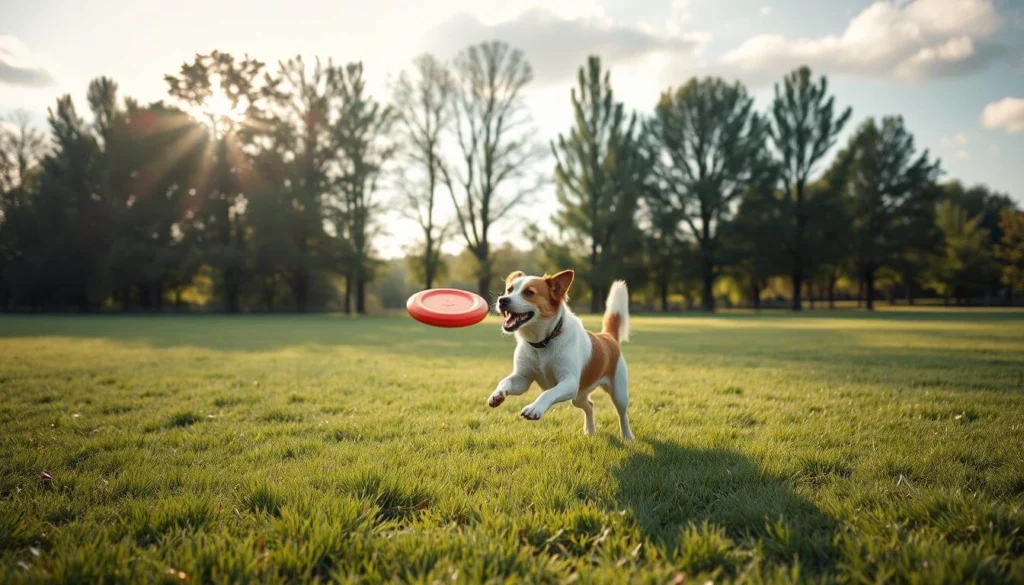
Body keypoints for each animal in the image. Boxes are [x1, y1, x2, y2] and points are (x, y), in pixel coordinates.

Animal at [487, 270, 630, 438]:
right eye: (509, 290)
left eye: (529, 292)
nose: (502, 300)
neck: (543, 342)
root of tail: (607, 337)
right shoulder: (522, 378)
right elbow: (505, 382)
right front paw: (497, 394)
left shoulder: (569, 382)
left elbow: (548, 393)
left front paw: (535, 408)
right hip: (578, 395)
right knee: (589, 405)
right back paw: (590, 431)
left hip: (618, 393)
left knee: (622, 414)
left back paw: (627, 436)